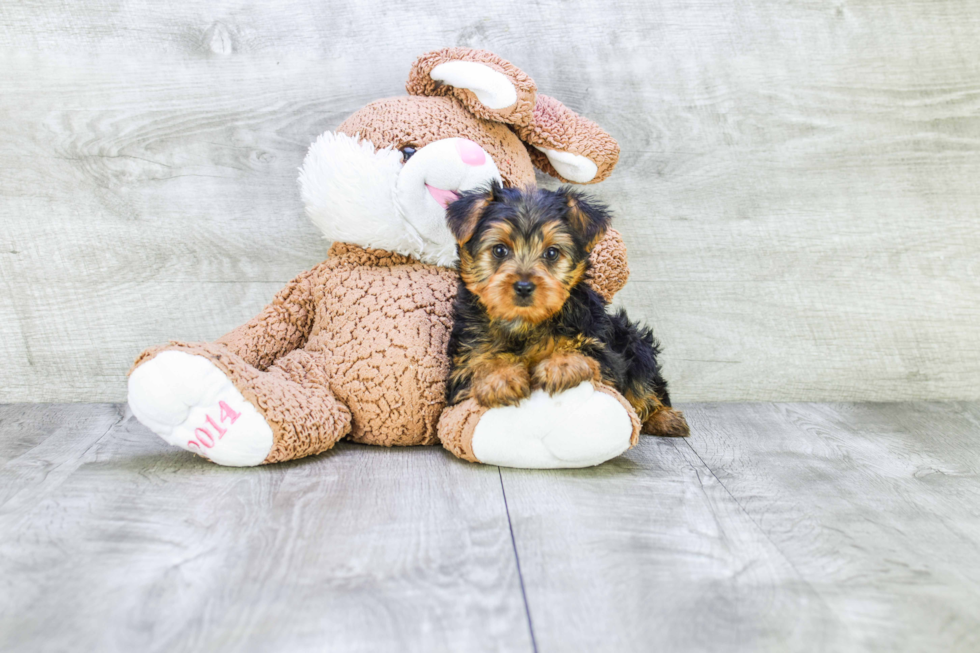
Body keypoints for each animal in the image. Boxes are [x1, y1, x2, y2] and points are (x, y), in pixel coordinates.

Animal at [444, 182, 688, 438]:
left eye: (552, 253)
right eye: (499, 250)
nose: (524, 286)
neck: (525, 322)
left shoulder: (602, 347)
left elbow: (590, 352)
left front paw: (562, 364)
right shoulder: (465, 357)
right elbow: (478, 364)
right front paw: (499, 378)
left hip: (633, 340)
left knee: (645, 387)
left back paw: (665, 418)